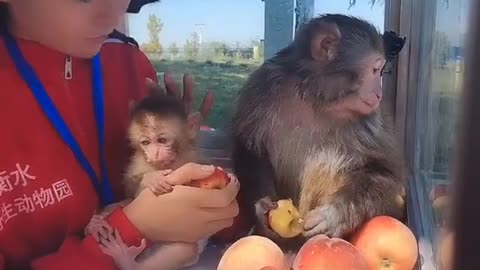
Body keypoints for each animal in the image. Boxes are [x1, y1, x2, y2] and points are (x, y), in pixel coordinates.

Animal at [232, 13, 404, 245]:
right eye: (375, 70)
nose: (379, 93)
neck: (317, 98)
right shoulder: (263, 86)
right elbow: (250, 147)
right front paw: (262, 206)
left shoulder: (372, 120)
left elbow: (385, 173)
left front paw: (335, 214)